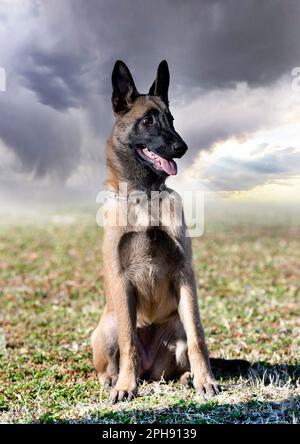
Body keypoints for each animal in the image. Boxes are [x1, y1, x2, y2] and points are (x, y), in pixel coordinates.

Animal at [91, 59, 220, 402]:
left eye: (171, 120)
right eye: (147, 121)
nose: (182, 147)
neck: (146, 198)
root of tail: (149, 372)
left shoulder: (184, 274)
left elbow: (198, 338)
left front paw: (205, 380)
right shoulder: (121, 281)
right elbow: (128, 344)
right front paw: (125, 386)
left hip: (175, 329)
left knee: (182, 350)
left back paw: (187, 377)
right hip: (107, 326)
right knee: (119, 354)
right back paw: (115, 379)